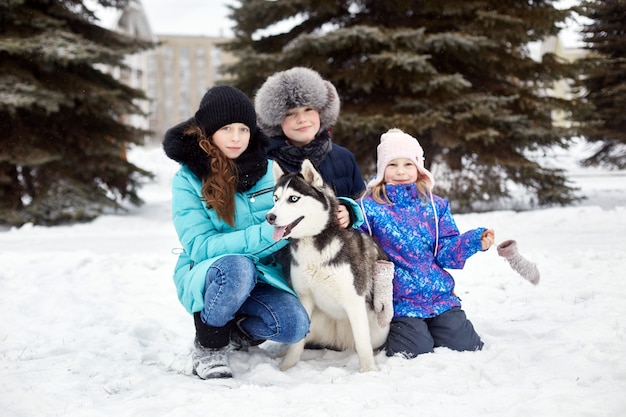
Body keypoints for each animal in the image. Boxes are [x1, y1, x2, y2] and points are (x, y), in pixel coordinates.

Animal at [264, 159, 390, 370]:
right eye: (275, 198)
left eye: (293, 198)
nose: (269, 217)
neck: (314, 244)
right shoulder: (304, 298)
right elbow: (297, 343)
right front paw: (287, 367)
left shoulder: (354, 299)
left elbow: (362, 344)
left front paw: (368, 371)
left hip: (378, 329)